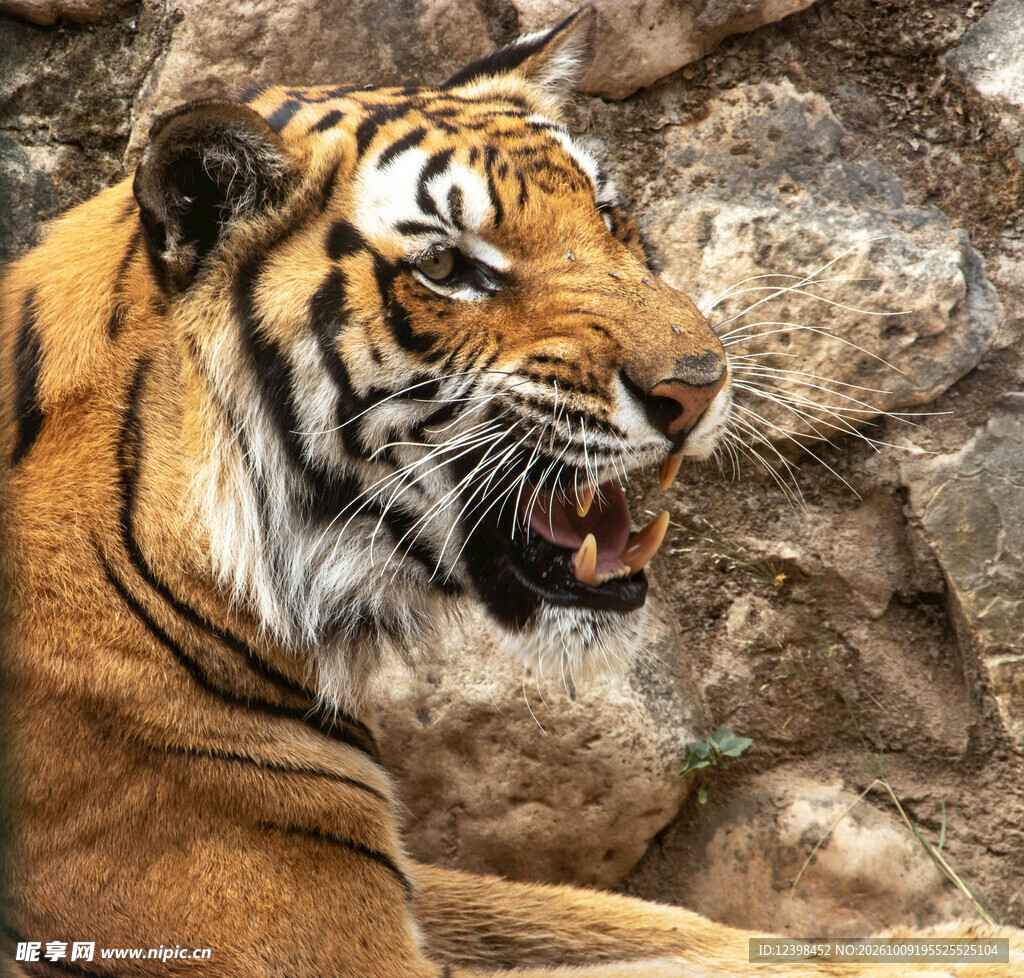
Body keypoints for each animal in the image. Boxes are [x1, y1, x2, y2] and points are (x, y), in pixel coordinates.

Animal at [0, 7, 1016, 977]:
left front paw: (968, 935)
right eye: (449, 268)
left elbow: (635, 921)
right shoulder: (315, 936)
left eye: (609, 216)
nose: (702, 384)